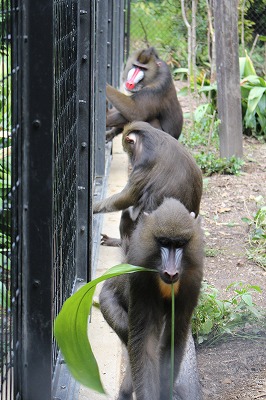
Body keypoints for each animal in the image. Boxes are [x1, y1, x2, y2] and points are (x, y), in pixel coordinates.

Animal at [100, 199, 204, 400]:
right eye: (163, 242)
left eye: (180, 244)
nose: (171, 272)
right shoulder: (140, 278)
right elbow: (144, 345)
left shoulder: (192, 280)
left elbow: (173, 341)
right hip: (108, 302)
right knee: (130, 338)